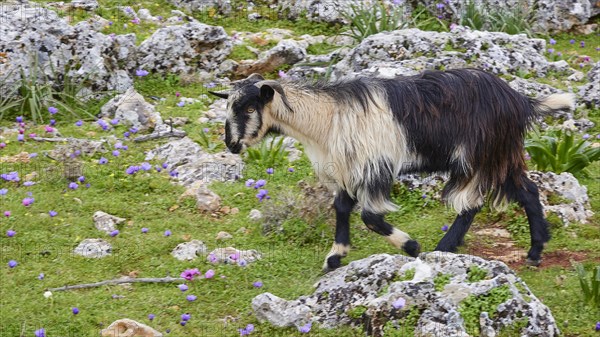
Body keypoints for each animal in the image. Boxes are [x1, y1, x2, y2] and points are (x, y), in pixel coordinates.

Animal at [209, 69, 576, 272]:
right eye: (228, 107)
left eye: (250, 108)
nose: (231, 144)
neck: (326, 118)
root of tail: (519, 99)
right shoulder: (347, 169)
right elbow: (341, 208)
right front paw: (335, 257)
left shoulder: (375, 166)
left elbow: (371, 217)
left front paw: (411, 246)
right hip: (500, 156)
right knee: (527, 191)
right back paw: (535, 251)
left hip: (479, 156)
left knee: (471, 203)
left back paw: (443, 248)